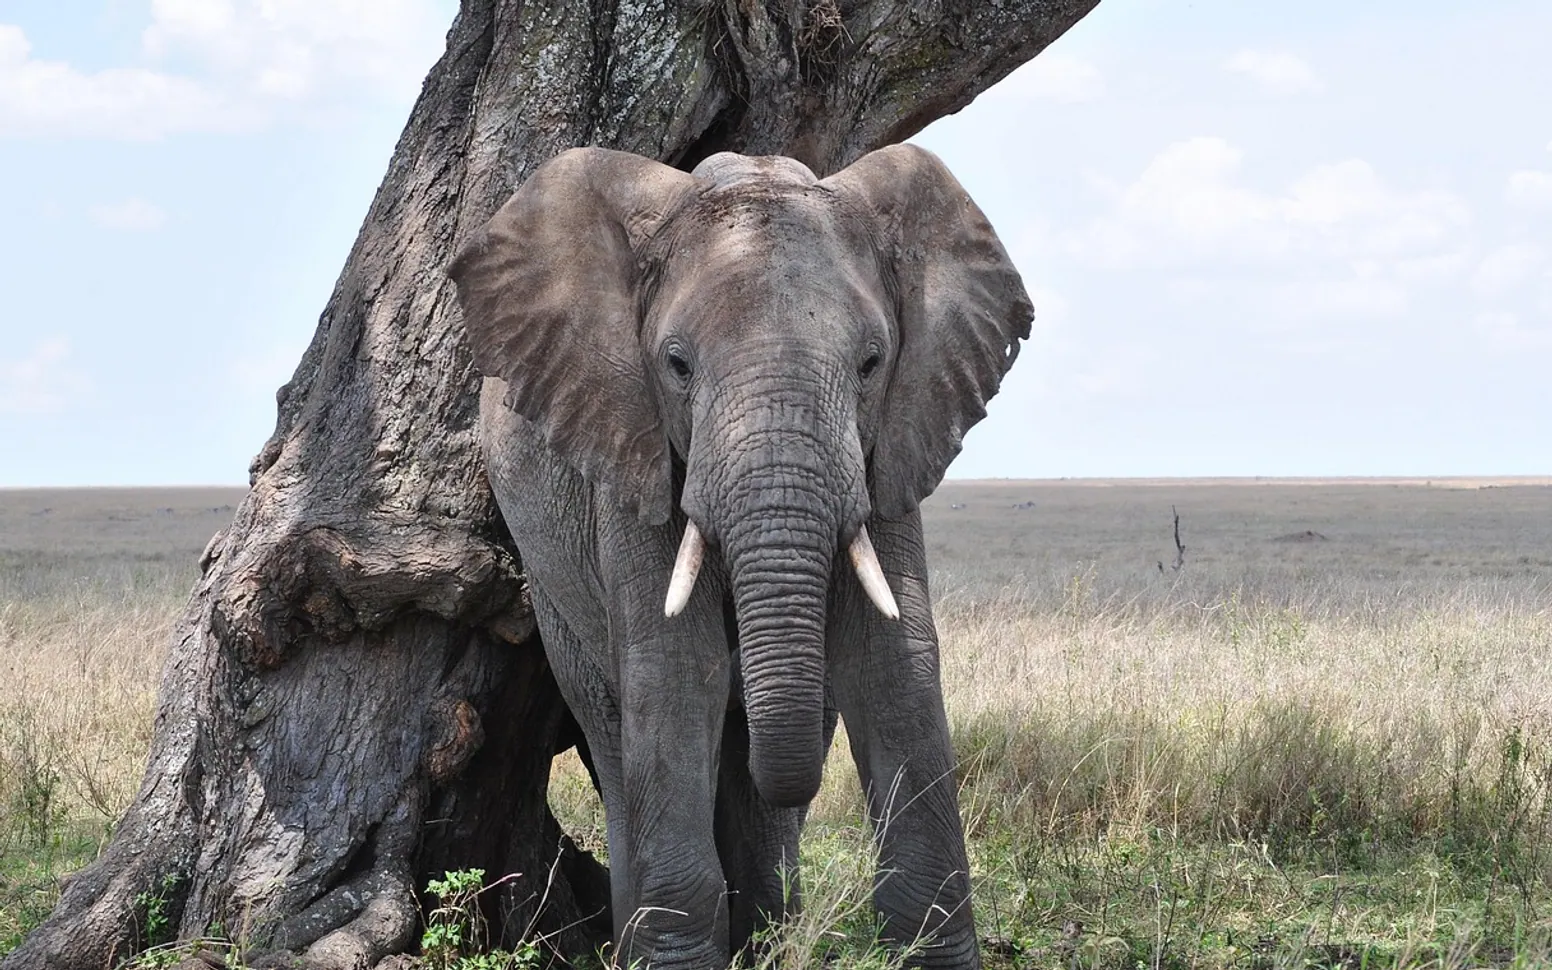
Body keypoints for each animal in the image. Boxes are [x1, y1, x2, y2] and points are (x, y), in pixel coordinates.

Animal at [449, 143, 1033, 969]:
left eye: (872, 363)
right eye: (676, 365)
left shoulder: (892, 450)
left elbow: (895, 664)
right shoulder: (629, 451)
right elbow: (674, 671)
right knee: (614, 728)